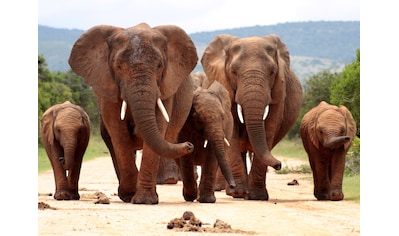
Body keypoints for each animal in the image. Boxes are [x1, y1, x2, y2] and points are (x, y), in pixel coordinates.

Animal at [70, 23, 200, 204]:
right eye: (118, 67)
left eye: (160, 66)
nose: (189, 145)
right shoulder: (108, 88)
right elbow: (119, 133)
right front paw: (130, 195)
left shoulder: (165, 87)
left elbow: (158, 128)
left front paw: (144, 200)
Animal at [177, 72, 236, 203]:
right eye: (199, 120)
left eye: (222, 118)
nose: (233, 186)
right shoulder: (184, 124)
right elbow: (187, 155)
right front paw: (191, 197)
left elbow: (212, 154)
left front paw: (207, 200)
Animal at [203, 33, 304, 199]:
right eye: (233, 71)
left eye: (272, 72)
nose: (279, 165)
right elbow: (232, 129)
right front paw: (238, 193)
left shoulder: (279, 91)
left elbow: (269, 128)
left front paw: (257, 196)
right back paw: (229, 190)